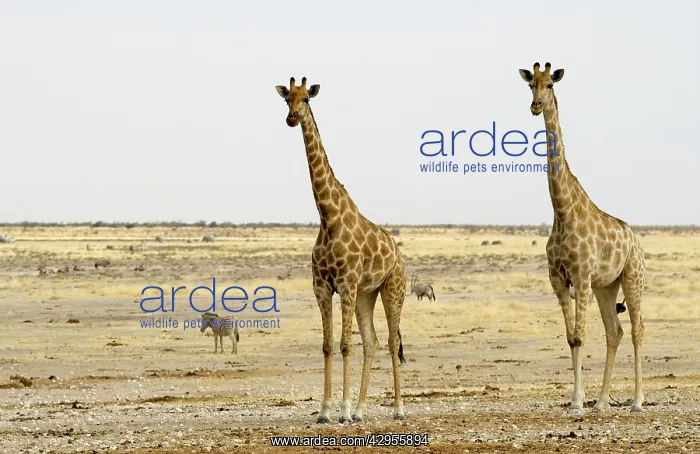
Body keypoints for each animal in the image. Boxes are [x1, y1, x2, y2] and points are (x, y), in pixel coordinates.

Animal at [275, 77, 407, 423]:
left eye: (307, 98)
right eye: (287, 99)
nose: (291, 118)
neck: (328, 217)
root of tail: (399, 254)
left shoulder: (345, 284)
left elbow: (346, 344)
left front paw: (343, 410)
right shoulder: (322, 286)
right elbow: (328, 345)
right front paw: (325, 411)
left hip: (393, 289)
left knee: (391, 341)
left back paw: (397, 409)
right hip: (366, 294)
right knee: (372, 342)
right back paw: (361, 411)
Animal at [518, 62, 646, 415]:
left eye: (550, 84)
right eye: (531, 84)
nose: (535, 106)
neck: (562, 211)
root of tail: (636, 240)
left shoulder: (581, 274)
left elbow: (580, 335)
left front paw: (577, 402)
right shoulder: (558, 279)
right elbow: (571, 337)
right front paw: (577, 400)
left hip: (632, 277)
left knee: (637, 331)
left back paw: (637, 400)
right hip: (606, 287)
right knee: (615, 332)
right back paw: (601, 401)